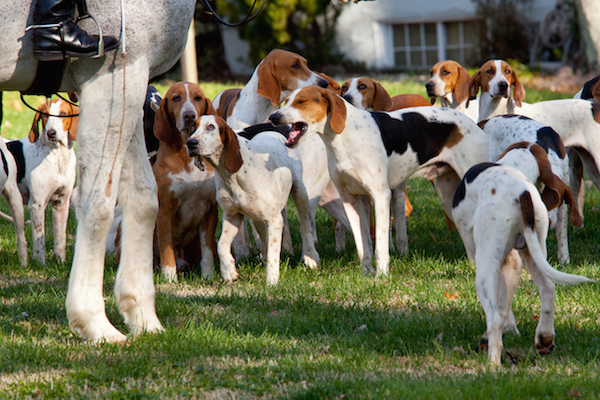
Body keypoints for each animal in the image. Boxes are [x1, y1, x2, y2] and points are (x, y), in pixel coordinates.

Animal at [0, 1, 196, 342]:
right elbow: (99, 204)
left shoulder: (132, 81)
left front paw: (142, 315)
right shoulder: (111, 78)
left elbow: (143, 200)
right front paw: (93, 321)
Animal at [151, 82, 219, 282]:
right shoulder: (165, 211)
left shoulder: (211, 210)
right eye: (176, 98)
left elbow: (207, 251)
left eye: (197, 98)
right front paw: (170, 279)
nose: (189, 116)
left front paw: (208, 276)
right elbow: (167, 249)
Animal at [270, 86, 490, 276]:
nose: (273, 117)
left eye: (301, 101)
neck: (345, 137)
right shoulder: (350, 200)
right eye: (286, 101)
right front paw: (366, 273)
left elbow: (381, 245)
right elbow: (363, 244)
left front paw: (382, 275)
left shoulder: (381, 197)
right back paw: (473, 266)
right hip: (449, 198)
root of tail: (474, 125)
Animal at [450, 141, 592, 366]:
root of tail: (522, 191)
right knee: (548, 288)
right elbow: (505, 304)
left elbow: (501, 310)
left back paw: (493, 364)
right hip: (534, 254)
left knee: (494, 317)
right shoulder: (516, 261)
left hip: (484, 271)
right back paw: (544, 337)